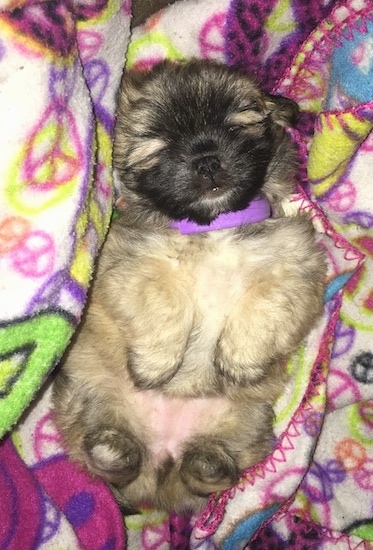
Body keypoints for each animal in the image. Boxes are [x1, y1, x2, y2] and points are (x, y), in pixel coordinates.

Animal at [52, 61, 326, 516]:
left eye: (236, 127)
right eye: (159, 147)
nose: (207, 161)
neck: (213, 228)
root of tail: (162, 462)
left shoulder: (298, 266)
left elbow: (268, 300)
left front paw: (239, 360)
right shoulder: (126, 264)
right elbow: (165, 299)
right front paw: (156, 366)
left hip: (246, 421)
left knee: (204, 473)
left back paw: (208, 463)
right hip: (90, 395)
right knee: (109, 459)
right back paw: (114, 450)